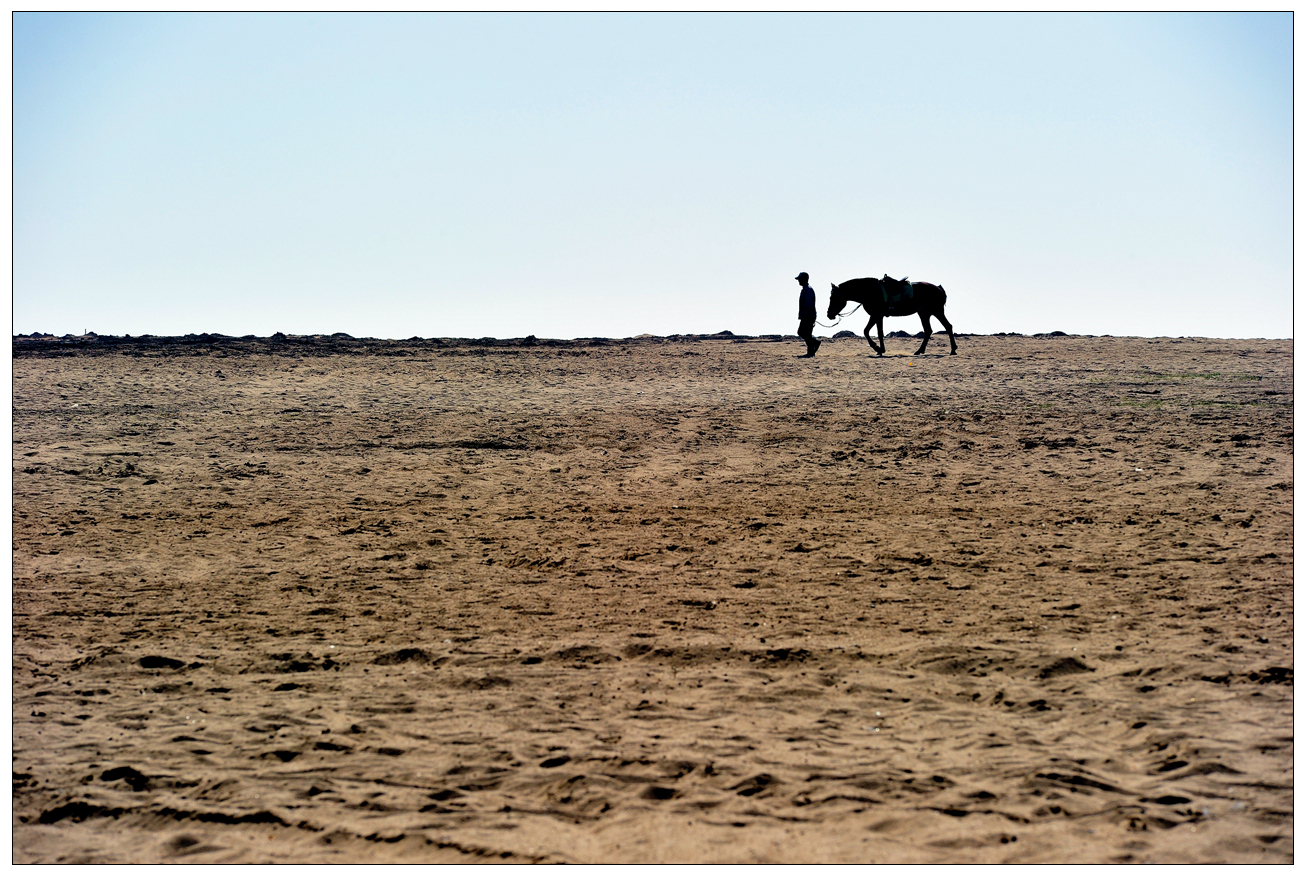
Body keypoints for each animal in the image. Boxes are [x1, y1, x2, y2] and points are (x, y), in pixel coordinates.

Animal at [825, 274, 961, 355]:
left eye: (833, 298)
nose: (829, 314)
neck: (870, 292)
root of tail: (938, 288)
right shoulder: (877, 316)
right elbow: (875, 332)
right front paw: (880, 350)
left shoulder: (875, 315)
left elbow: (870, 332)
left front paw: (877, 348)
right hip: (924, 313)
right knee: (928, 331)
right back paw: (920, 350)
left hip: (937, 311)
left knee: (948, 327)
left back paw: (953, 350)